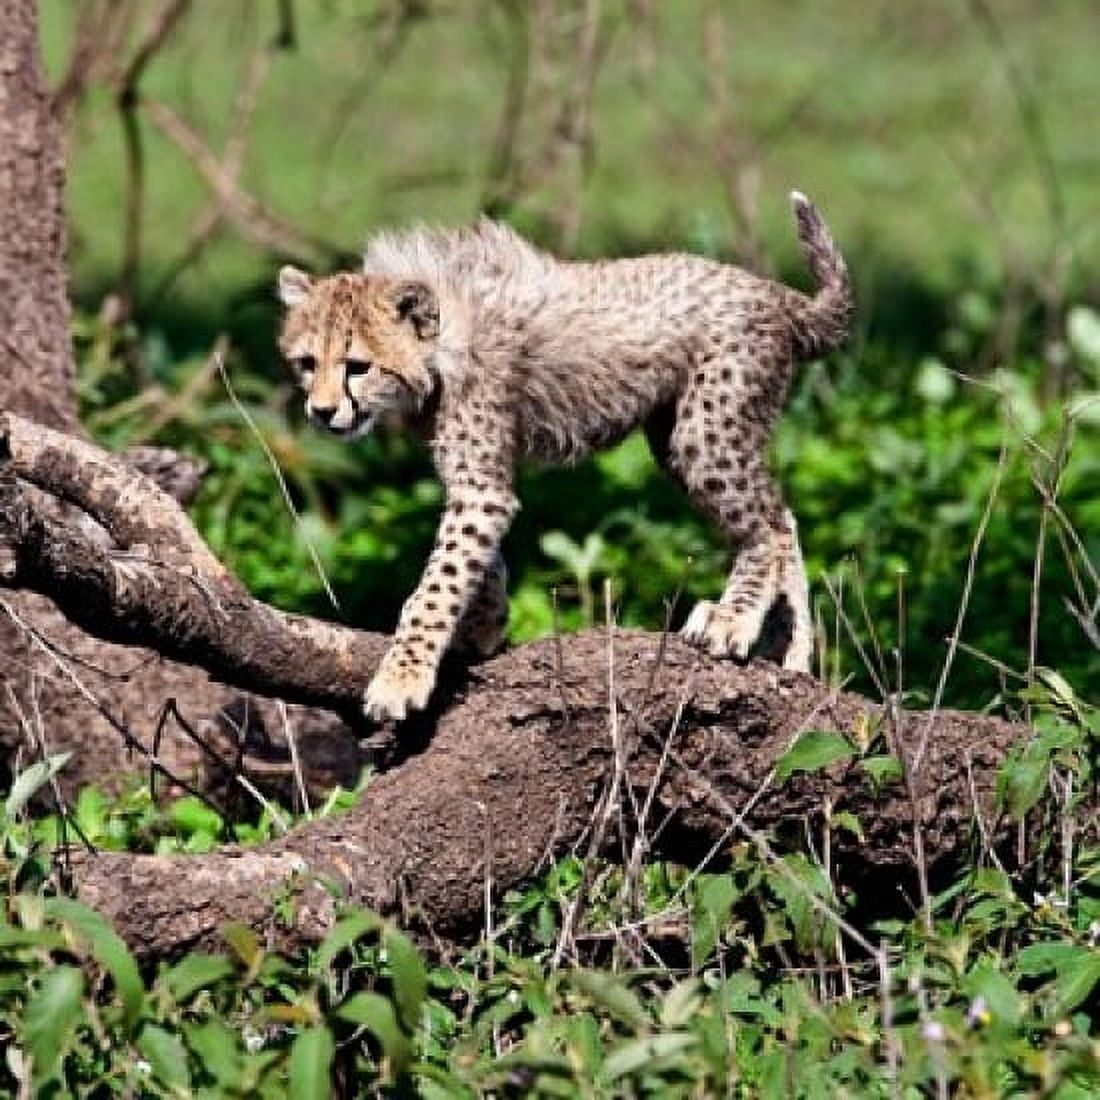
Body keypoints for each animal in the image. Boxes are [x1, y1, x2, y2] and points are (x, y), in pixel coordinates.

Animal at [277, 190, 852, 722]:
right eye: (307, 363)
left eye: (357, 366)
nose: (321, 412)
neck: (439, 343)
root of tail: (766, 287)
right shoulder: (477, 481)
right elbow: (476, 561)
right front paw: (483, 626)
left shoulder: (480, 487)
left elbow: (439, 582)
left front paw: (402, 677)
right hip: (677, 440)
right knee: (785, 517)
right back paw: (790, 652)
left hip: (705, 433)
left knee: (767, 529)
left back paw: (731, 621)